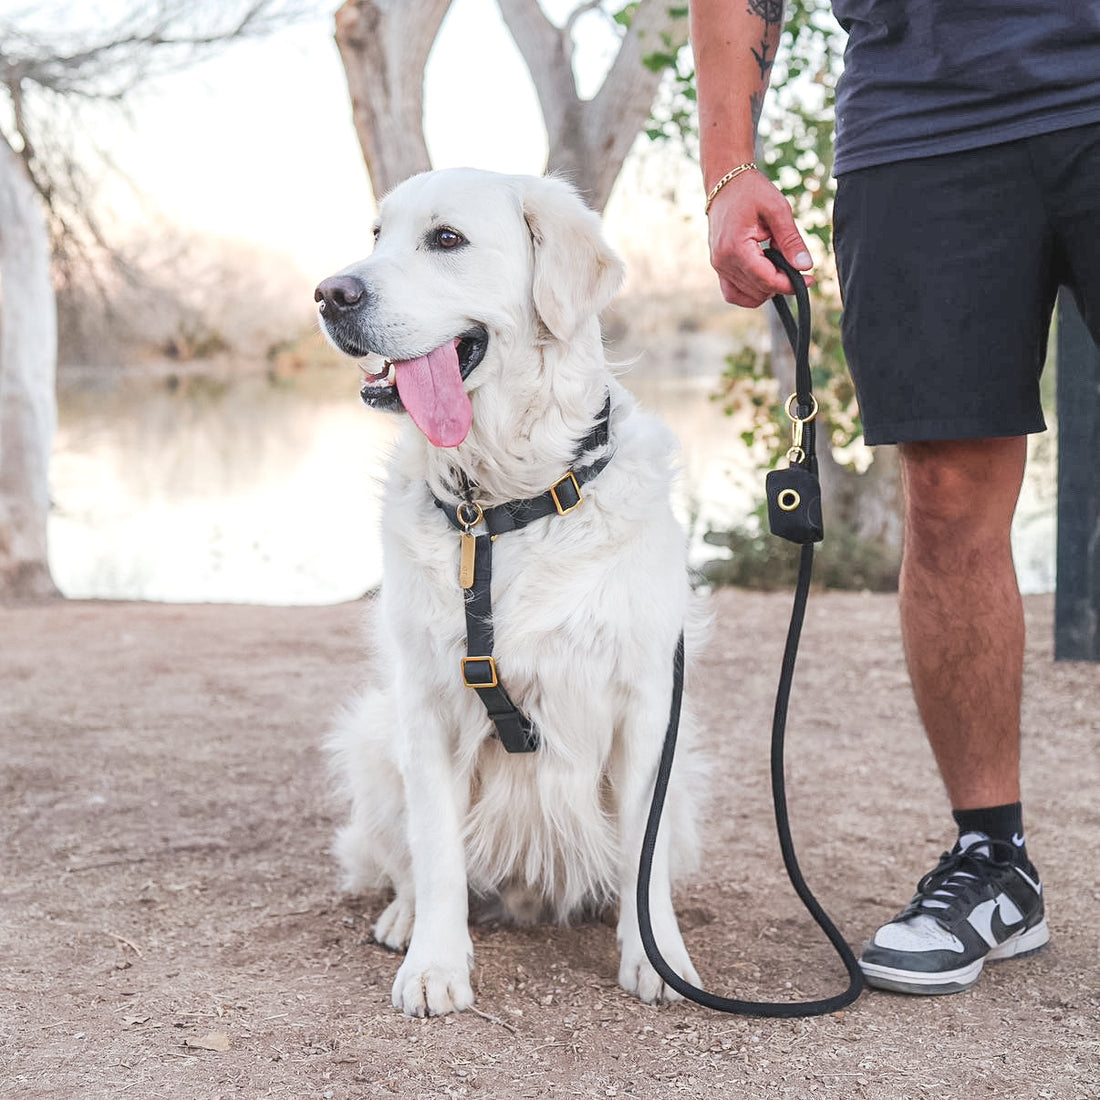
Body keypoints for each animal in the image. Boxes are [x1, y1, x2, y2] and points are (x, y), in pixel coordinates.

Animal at [316, 167, 704, 1016]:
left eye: (446, 239)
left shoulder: (647, 702)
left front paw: (655, 957)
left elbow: (645, 852)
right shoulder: (427, 704)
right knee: (403, 861)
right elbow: (434, 851)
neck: (503, 505)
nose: (329, 293)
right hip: (375, 735)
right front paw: (435, 964)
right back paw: (403, 919)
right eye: (376, 235)